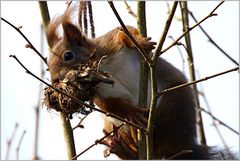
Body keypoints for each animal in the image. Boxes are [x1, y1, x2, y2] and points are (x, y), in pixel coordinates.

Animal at [46, 6, 235, 160]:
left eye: (68, 55)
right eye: (48, 66)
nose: (56, 82)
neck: (102, 68)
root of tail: (184, 146)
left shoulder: (108, 43)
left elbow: (125, 32)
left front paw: (139, 42)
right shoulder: (97, 93)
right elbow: (111, 105)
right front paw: (131, 112)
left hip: (174, 101)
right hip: (112, 126)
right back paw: (123, 147)